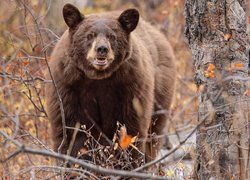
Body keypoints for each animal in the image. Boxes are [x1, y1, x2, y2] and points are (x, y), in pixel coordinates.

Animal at [46, 3, 176, 163]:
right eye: (90, 35)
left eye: (112, 36)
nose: (102, 49)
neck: (98, 78)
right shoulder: (67, 86)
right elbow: (70, 130)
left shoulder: (131, 86)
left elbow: (131, 129)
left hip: (161, 92)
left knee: (153, 135)